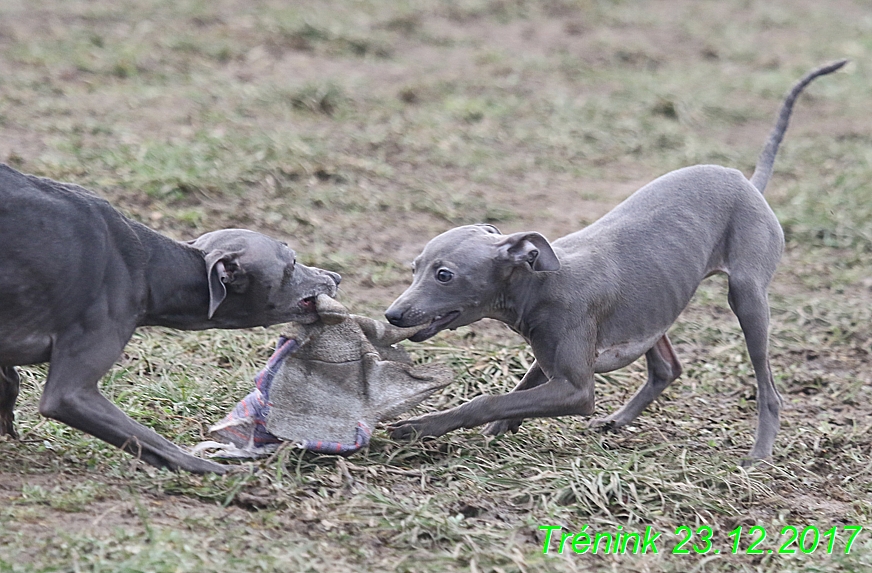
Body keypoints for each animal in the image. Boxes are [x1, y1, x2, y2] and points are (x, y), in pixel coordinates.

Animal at [0, 163, 340, 472]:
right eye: (292, 261)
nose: (335, 276)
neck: (151, 267)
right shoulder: (71, 394)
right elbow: (154, 441)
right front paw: (222, 470)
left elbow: (10, 376)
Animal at [384, 60, 848, 462]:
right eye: (414, 268)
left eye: (445, 275)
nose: (392, 315)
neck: (540, 282)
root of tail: (748, 182)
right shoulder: (552, 359)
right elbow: (518, 391)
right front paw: (499, 428)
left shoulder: (576, 389)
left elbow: (491, 399)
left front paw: (421, 427)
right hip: (655, 305)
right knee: (666, 369)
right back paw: (619, 420)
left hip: (747, 297)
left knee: (768, 387)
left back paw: (760, 454)